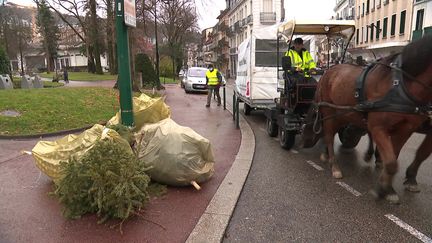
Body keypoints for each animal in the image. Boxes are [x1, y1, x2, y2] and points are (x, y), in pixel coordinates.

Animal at [302, 35, 432, 203]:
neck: (400, 85)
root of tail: (327, 72)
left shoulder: (405, 129)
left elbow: (396, 158)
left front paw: (389, 187)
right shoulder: (378, 127)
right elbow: (392, 162)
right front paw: (381, 189)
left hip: (343, 113)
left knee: (329, 133)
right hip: (328, 110)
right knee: (329, 136)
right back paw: (334, 165)